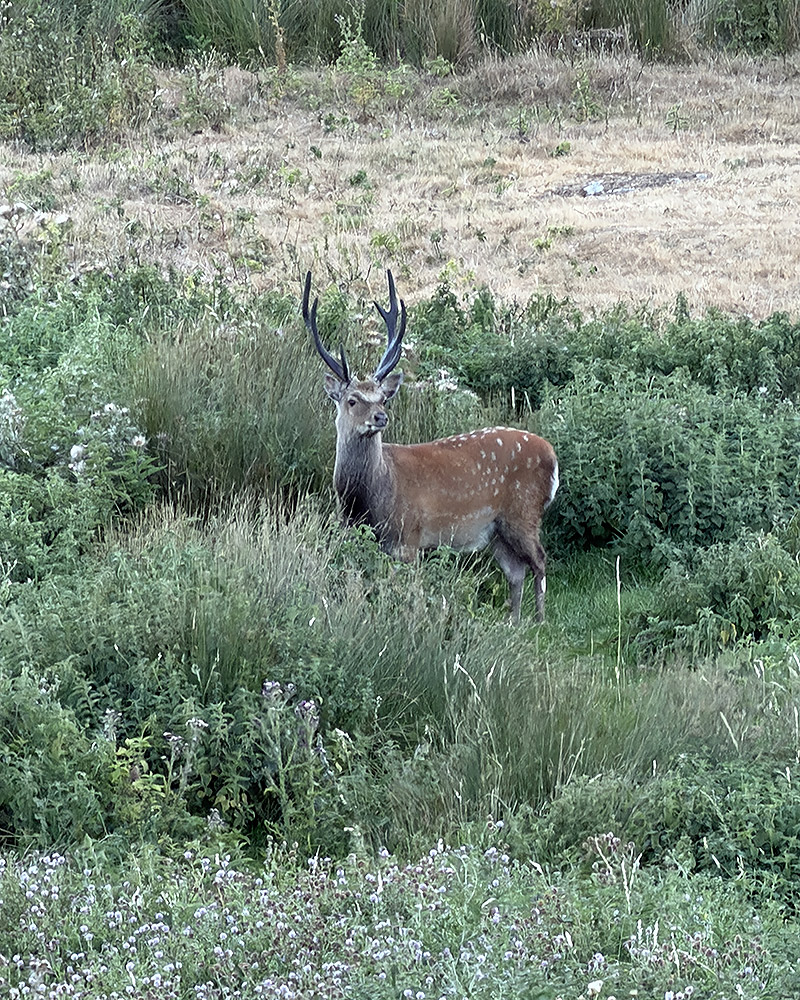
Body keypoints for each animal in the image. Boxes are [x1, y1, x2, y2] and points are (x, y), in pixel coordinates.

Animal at [303, 270, 559, 623]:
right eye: (352, 400)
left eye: (382, 398)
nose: (381, 416)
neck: (368, 499)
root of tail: (551, 454)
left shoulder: (409, 538)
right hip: (497, 529)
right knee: (515, 570)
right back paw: (514, 622)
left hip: (524, 511)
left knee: (540, 560)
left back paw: (540, 621)